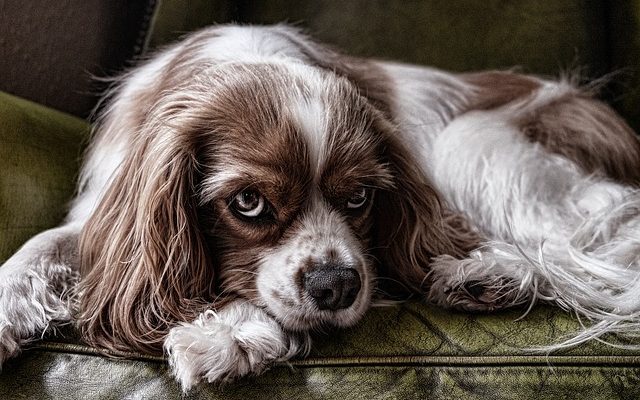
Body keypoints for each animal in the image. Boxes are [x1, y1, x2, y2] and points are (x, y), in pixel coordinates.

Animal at [1, 25, 640, 390]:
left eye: (359, 197)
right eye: (248, 202)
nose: (336, 286)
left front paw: (230, 333)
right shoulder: (108, 210)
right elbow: (41, 246)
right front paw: (7, 309)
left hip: (475, 143)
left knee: (585, 247)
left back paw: (487, 273)